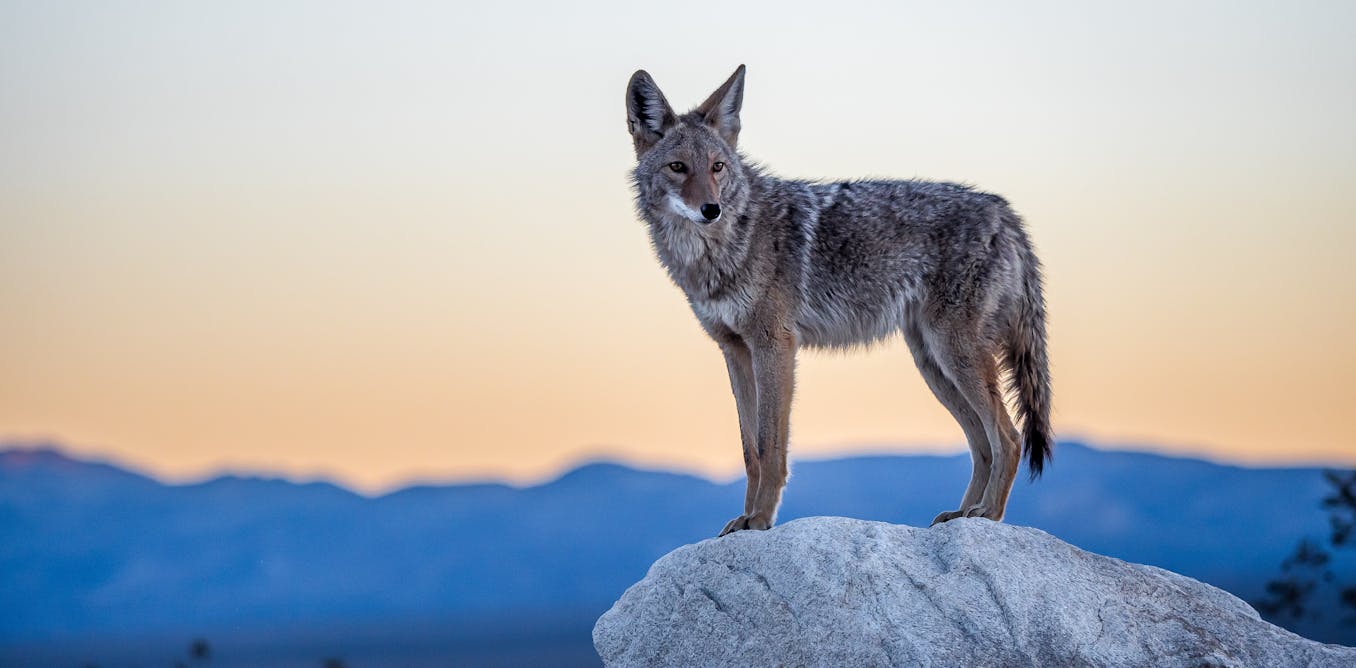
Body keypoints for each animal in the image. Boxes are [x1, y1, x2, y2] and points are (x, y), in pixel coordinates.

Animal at [625, 65, 1052, 536]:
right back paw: (961, 515)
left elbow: (769, 446)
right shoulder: (734, 350)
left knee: (1008, 438)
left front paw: (761, 520)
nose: (711, 209)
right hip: (934, 365)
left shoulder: (775, 345)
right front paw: (747, 518)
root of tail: (1005, 212)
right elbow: (749, 450)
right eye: (678, 167)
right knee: (983, 446)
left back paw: (988, 515)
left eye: (717, 167)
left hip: (954, 356)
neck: (722, 248)